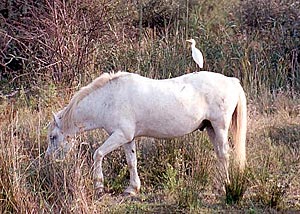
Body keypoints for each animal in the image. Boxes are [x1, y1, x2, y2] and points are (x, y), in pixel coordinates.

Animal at [46, 71, 246, 197]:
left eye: (53, 137)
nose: (48, 160)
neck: (109, 99)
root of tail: (231, 81)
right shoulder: (128, 139)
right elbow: (131, 162)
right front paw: (132, 189)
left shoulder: (120, 135)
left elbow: (98, 154)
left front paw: (99, 186)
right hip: (210, 128)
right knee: (220, 155)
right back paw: (219, 184)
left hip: (220, 127)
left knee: (224, 154)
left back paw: (223, 187)